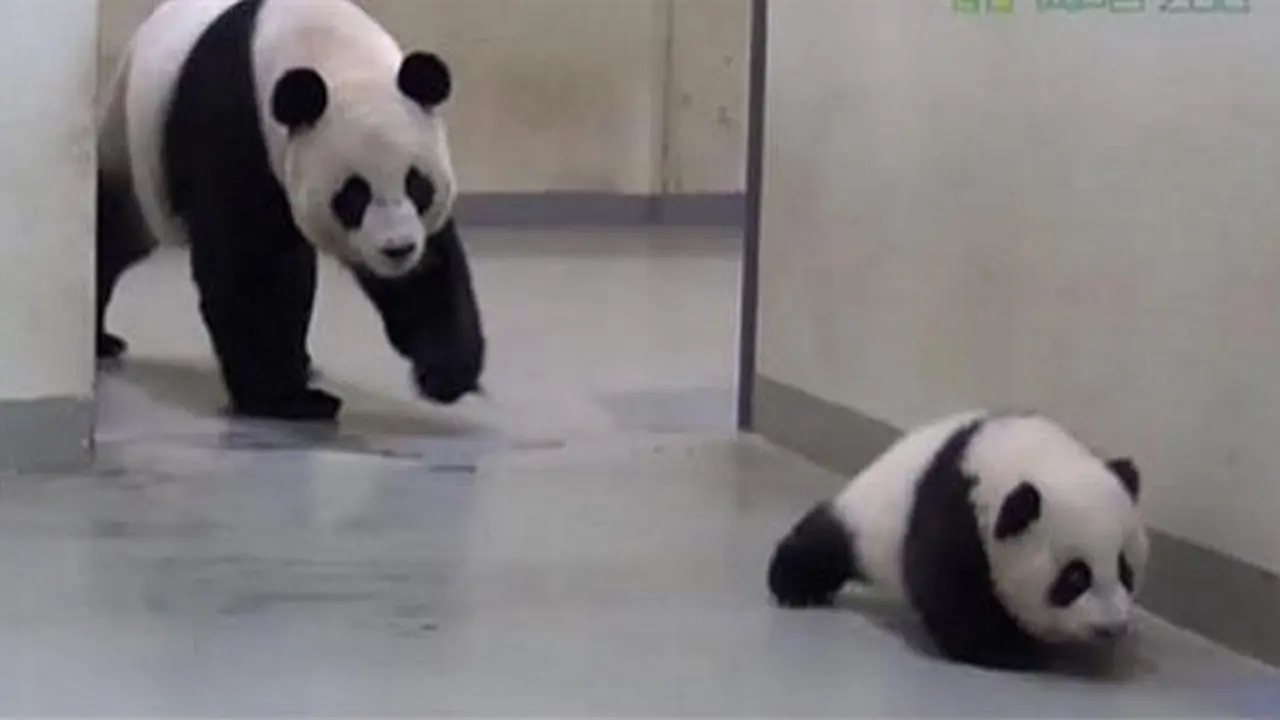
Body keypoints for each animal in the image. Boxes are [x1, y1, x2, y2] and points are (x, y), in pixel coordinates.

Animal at [96, 0, 485, 421]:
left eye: (417, 185)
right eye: (353, 195)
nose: (397, 250)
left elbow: (431, 269)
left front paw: (447, 373)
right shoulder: (236, 120)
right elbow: (251, 266)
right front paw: (285, 398)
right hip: (128, 148)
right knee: (115, 234)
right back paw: (101, 341)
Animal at [767, 410, 1149, 671]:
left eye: (1126, 570)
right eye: (1074, 578)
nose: (1111, 627)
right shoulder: (956, 513)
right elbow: (952, 591)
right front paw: (1012, 649)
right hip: (867, 521)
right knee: (827, 539)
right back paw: (795, 586)